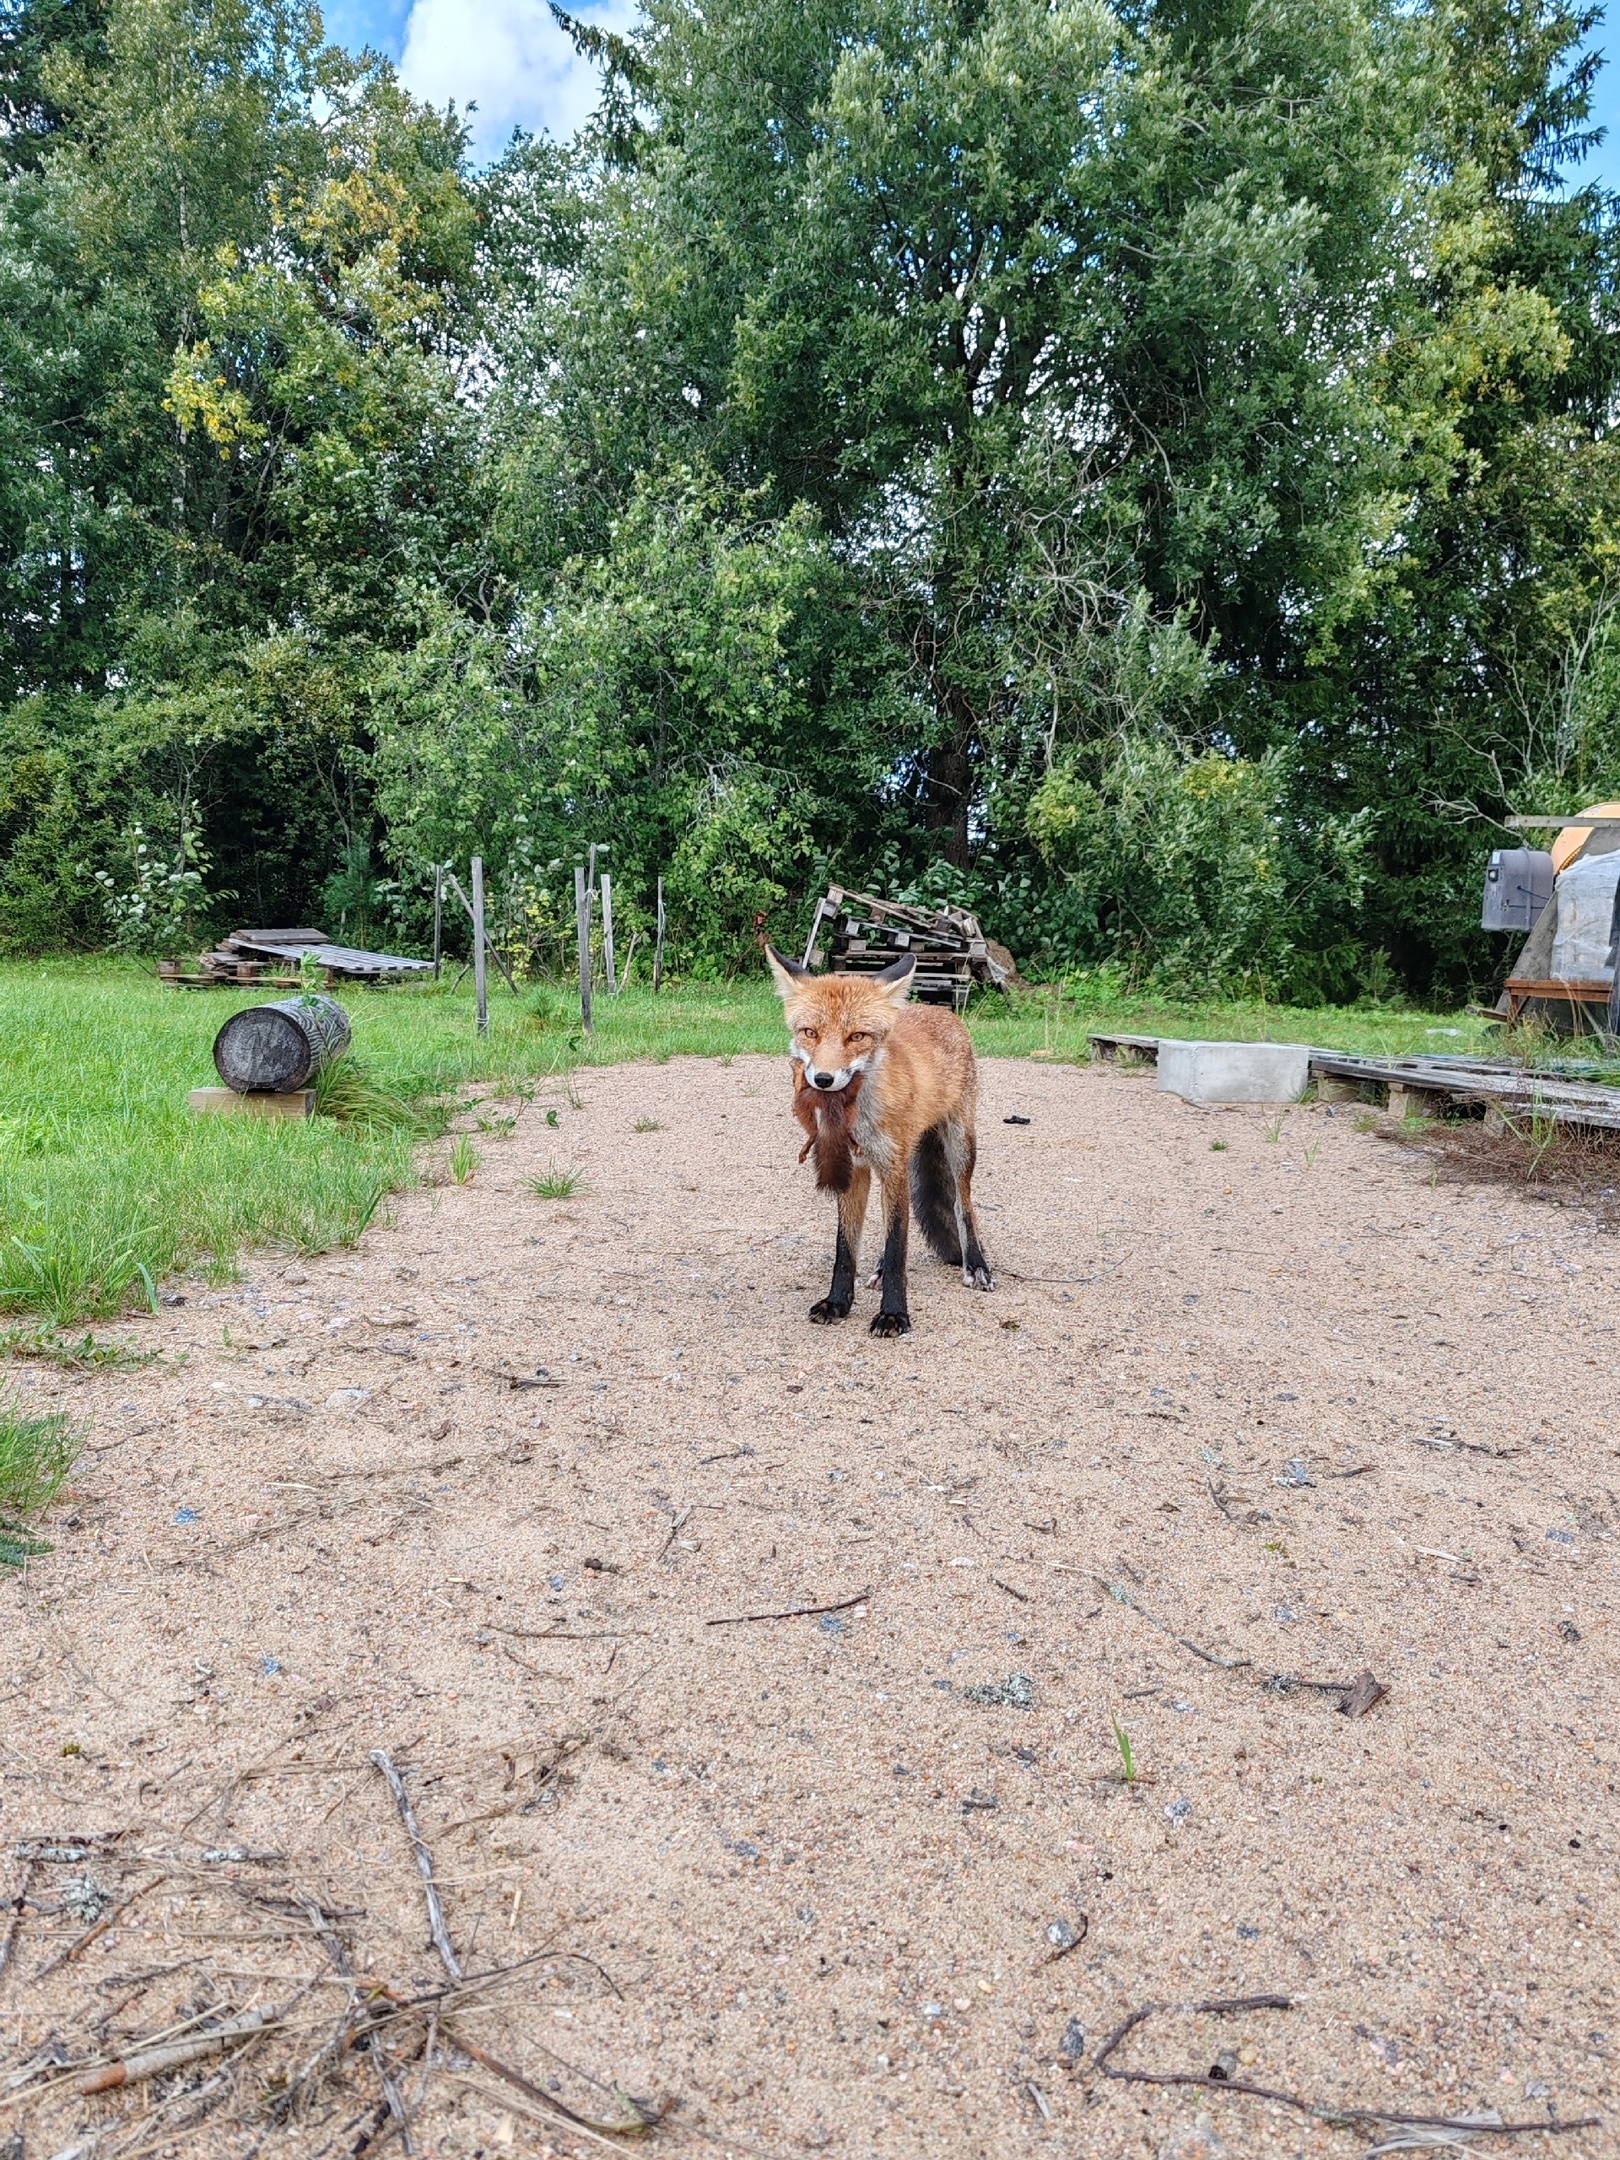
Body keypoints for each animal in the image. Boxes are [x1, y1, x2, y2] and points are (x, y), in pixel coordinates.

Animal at [768, 946, 997, 1330]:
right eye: (810, 1032)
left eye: (857, 1036)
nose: (823, 1079)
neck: (858, 1120)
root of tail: (938, 1009)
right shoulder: (855, 1169)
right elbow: (846, 1249)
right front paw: (837, 1303)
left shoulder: (894, 1168)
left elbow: (897, 1249)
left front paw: (893, 1313)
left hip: (960, 1146)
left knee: (962, 1206)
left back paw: (976, 1265)